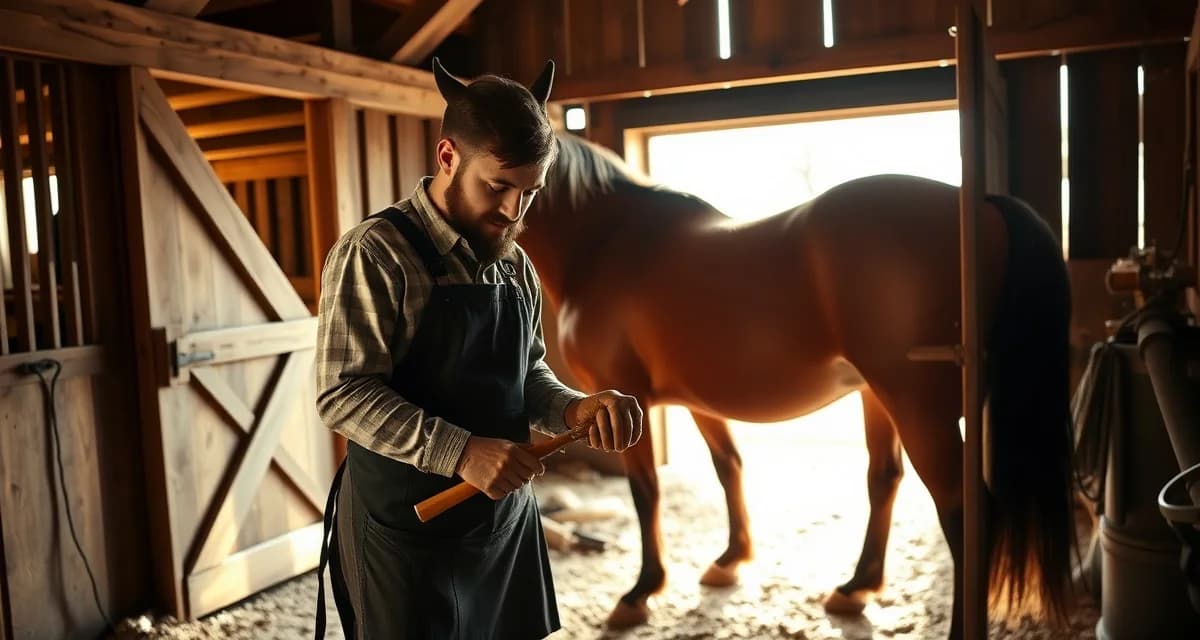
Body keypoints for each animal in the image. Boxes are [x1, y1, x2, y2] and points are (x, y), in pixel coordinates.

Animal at [519, 132, 1077, 639]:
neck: (606, 242)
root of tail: (980, 206)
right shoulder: (701, 402)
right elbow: (729, 468)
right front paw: (730, 560)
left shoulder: (619, 397)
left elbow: (645, 491)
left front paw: (640, 593)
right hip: (878, 397)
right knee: (885, 479)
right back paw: (855, 588)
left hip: (918, 407)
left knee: (962, 513)